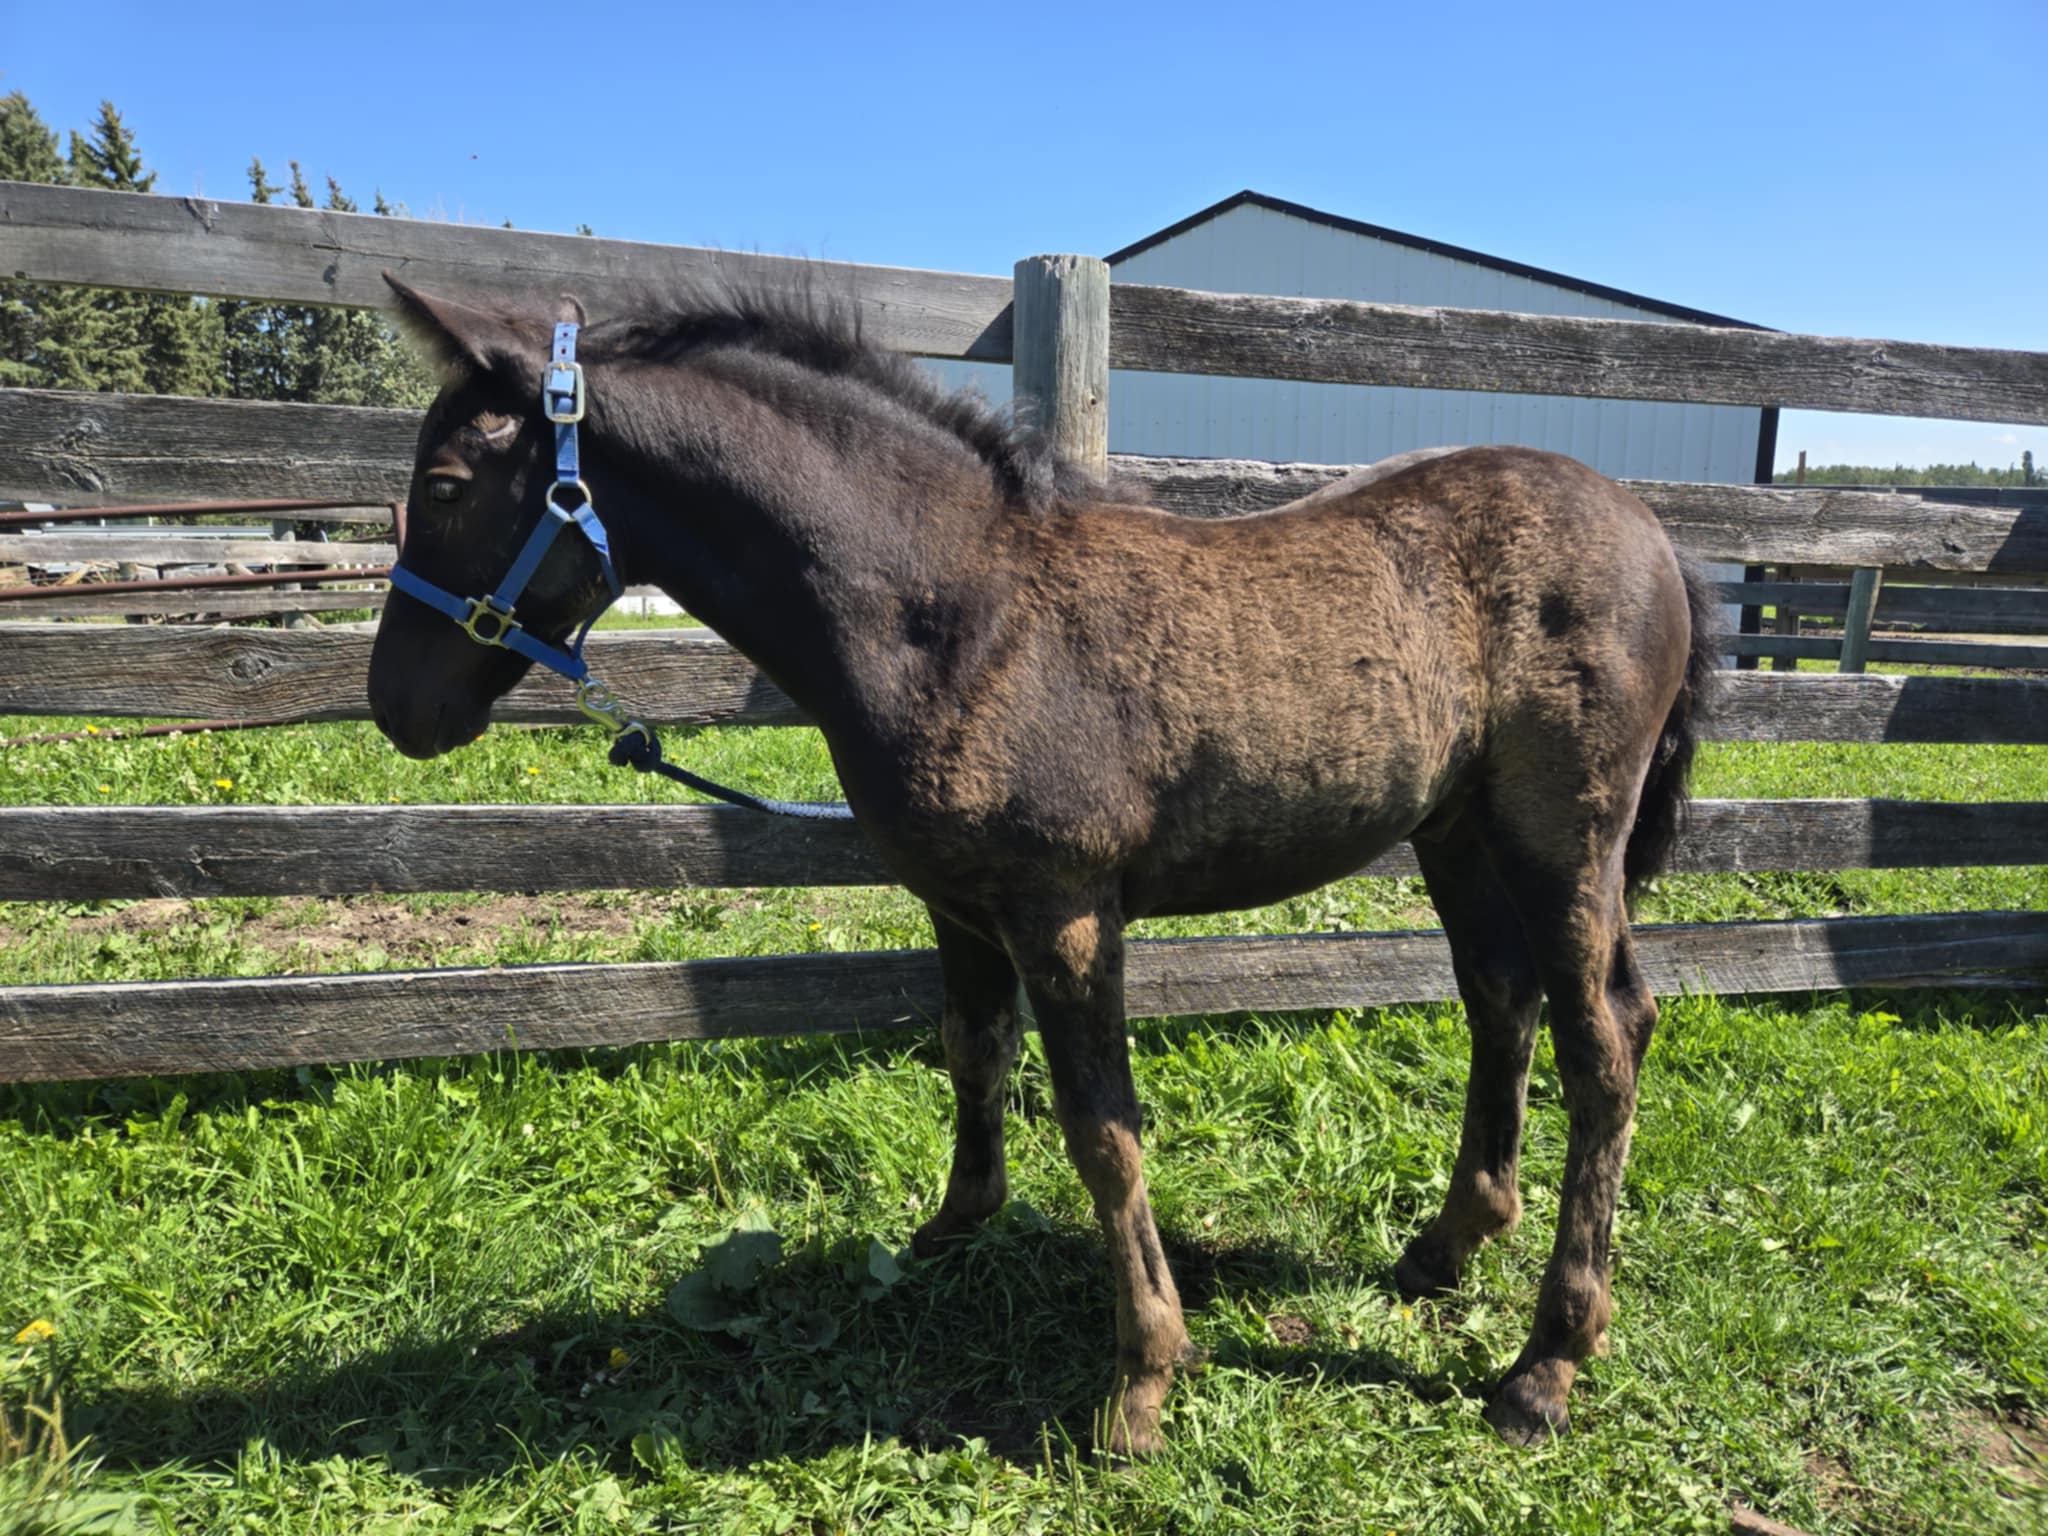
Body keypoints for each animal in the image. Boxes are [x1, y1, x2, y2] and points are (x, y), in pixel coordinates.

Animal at [367, 277, 1718, 1456]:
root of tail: (1651, 530)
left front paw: (1141, 1383)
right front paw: (952, 1230)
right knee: (1503, 998)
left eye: (443, 483)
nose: (396, 709)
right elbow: (971, 1051)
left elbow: (1099, 1128)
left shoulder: (1063, 911)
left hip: (1565, 835)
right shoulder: (958, 903)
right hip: (1460, 831)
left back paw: (1545, 1363)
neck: (955, 613)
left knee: (1602, 1038)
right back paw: (1445, 1247)